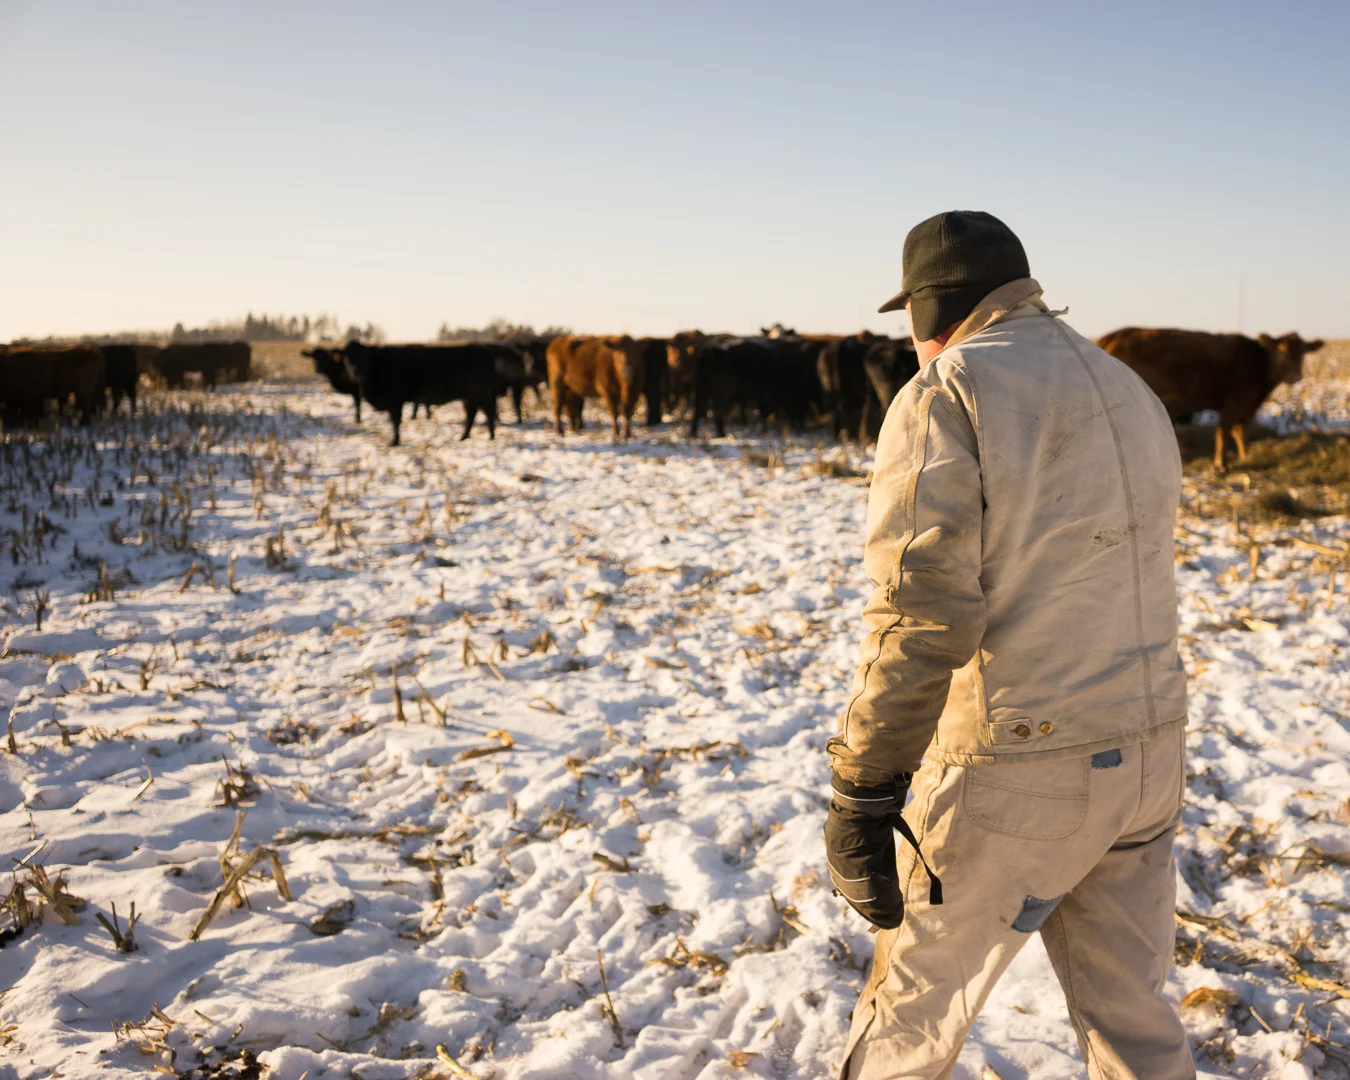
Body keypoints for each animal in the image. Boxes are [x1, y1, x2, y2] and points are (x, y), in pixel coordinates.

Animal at [341, 341, 498, 447]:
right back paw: (464, 437)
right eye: (347, 358)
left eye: (366, 358)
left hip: (478, 393)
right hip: (469, 397)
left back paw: (490, 436)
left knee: (487, 411)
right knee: (472, 414)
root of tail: (483, 351)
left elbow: (395, 421)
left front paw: (395, 441)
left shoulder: (395, 401)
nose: (358, 375)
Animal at [1096, 328, 1325, 469]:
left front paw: (1244, 456)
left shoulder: (1245, 407)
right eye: (1281, 351)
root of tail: (1114, 335)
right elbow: (1223, 433)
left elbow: (1240, 433)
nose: (1295, 375)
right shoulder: (1234, 403)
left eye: (1303, 353)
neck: (1258, 363)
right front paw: (1220, 464)